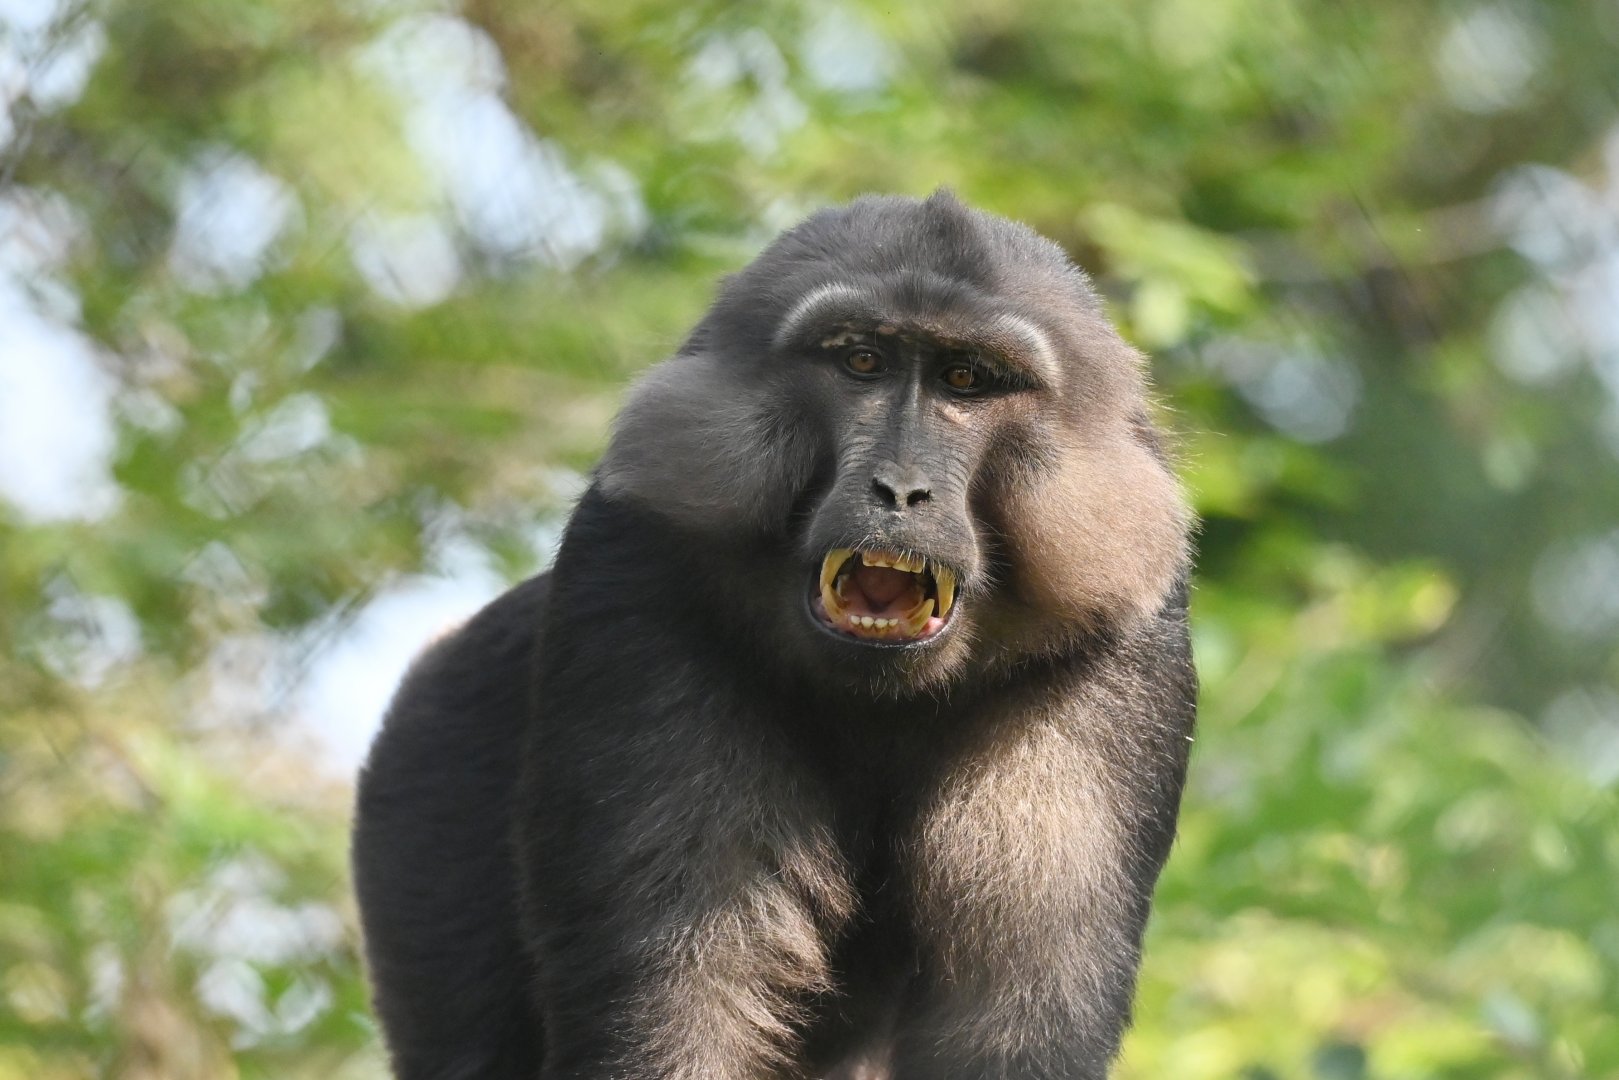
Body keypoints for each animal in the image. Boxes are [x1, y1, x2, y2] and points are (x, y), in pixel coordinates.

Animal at [351, 190, 1197, 1080]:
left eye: (965, 379)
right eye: (861, 362)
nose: (900, 490)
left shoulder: (1118, 659)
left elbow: (1010, 1022)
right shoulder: (635, 583)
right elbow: (682, 1009)